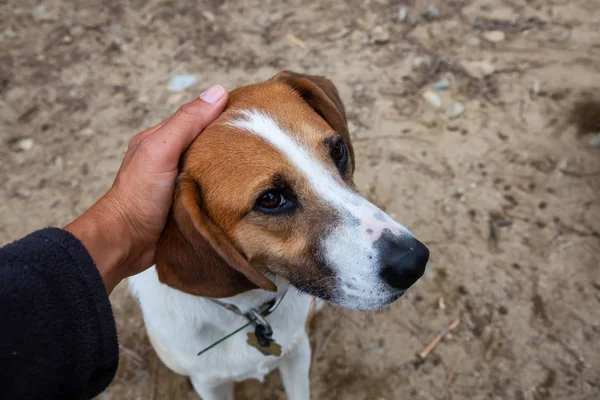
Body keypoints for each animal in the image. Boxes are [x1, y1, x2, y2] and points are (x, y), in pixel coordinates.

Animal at [130, 72, 432, 400]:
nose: (414, 262)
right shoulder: (209, 384)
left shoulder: (298, 354)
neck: (249, 310)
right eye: (271, 199)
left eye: (338, 151)